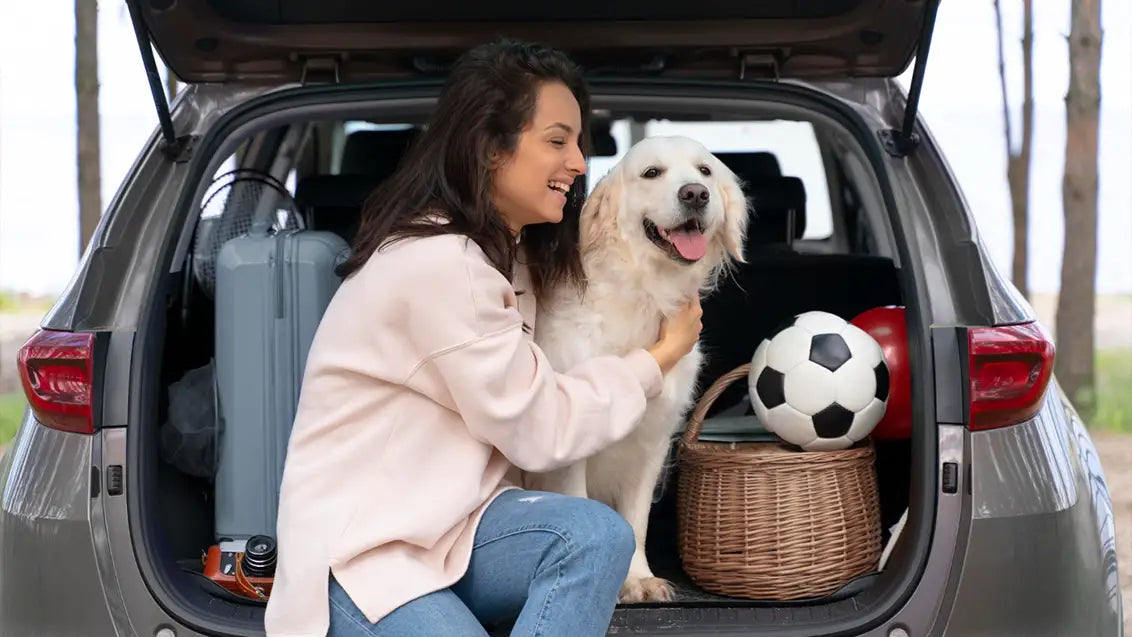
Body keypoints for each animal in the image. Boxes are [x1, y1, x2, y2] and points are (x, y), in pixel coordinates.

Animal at [527, 134, 751, 601]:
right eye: (652, 173)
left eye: (705, 171)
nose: (695, 194)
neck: (646, 293)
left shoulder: (651, 443)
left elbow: (637, 520)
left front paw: (637, 578)